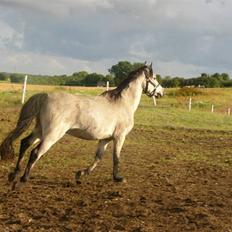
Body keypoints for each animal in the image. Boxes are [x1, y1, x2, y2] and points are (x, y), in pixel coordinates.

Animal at [0, 63, 163, 183]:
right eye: (154, 77)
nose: (161, 92)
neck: (122, 103)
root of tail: (45, 96)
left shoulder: (105, 139)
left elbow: (98, 157)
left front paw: (81, 174)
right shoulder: (119, 137)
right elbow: (116, 158)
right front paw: (118, 178)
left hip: (40, 130)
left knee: (25, 143)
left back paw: (14, 174)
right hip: (52, 134)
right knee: (35, 152)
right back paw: (24, 178)